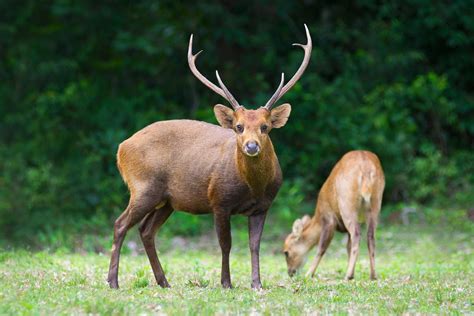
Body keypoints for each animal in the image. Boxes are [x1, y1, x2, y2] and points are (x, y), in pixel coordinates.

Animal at [108, 25, 312, 290]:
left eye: (265, 127)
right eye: (238, 126)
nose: (252, 146)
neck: (253, 187)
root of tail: (121, 148)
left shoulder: (263, 206)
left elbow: (254, 245)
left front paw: (256, 283)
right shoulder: (219, 200)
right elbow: (226, 244)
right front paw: (226, 282)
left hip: (167, 199)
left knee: (146, 230)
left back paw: (163, 281)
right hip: (143, 186)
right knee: (120, 224)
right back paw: (113, 281)